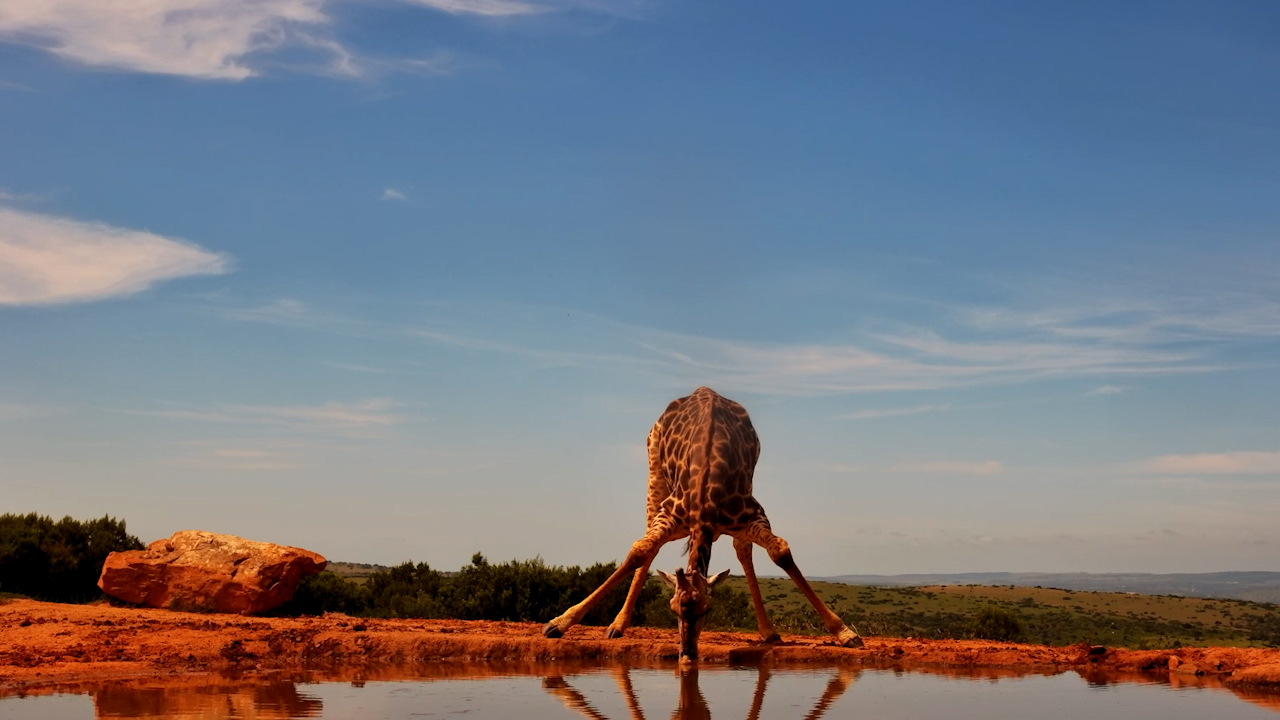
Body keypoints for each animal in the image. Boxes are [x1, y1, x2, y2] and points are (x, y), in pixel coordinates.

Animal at [543, 386, 862, 661]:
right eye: (673, 609)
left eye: (708, 609)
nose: (687, 654)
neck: (707, 491)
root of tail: (703, 390)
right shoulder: (669, 515)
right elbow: (639, 551)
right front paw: (558, 623)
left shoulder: (752, 514)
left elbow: (780, 551)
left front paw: (846, 633)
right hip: (654, 471)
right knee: (649, 543)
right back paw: (617, 626)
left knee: (743, 550)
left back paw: (769, 632)